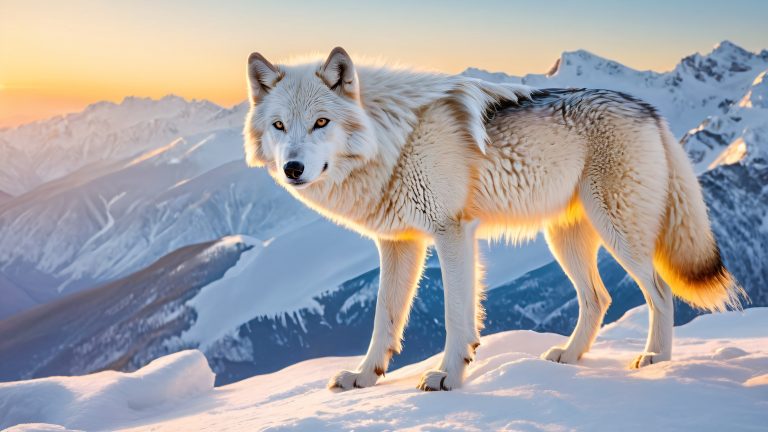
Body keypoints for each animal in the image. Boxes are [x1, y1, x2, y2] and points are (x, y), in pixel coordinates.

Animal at [243, 47, 744, 391]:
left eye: (321, 123)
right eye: (280, 126)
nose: (293, 169)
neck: (393, 138)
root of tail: (648, 110)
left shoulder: (451, 232)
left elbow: (455, 315)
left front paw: (447, 377)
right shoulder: (399, 244)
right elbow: (385, 319)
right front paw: (365, 378)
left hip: (618, 231)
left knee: (659, 290)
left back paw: (656, 360)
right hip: (564, 239)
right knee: (599, 298)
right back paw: (570, 356)